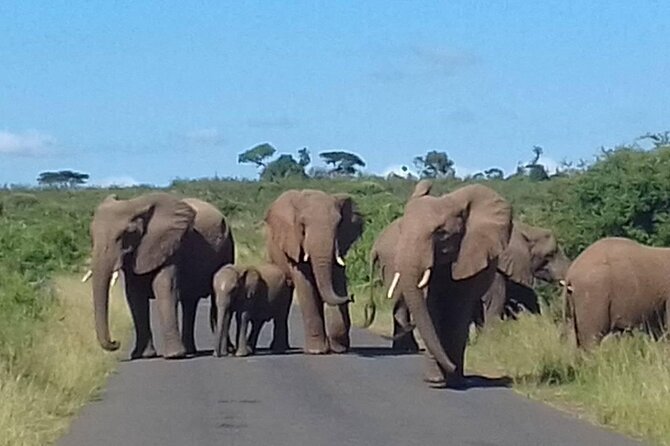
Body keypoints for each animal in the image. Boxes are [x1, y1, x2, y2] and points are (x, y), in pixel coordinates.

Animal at [88, 193, 236, 360]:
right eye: (91, 236)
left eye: (127, 234)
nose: (115, 342)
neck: (136, 205)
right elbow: (134, 297)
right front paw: (143, 355)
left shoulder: (171, 246)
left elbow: (165, 288)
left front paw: (173, 356)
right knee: (190, 302)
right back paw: (191, 351)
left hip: (228, 248)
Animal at [266, 189, 364, 356]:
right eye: (303, 225)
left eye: (338, 225)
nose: (352, 296)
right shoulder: (294, 244)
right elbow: (306, 286)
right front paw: (316, 351)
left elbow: (337, 282)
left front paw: (339, 349)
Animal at [388, 181, 516, 386]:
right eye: (401, 229)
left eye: (440, 233)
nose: (452, 367)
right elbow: (431, 308)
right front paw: (436, 380)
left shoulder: (468, 257)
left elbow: (457, 311)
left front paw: (453, 378)